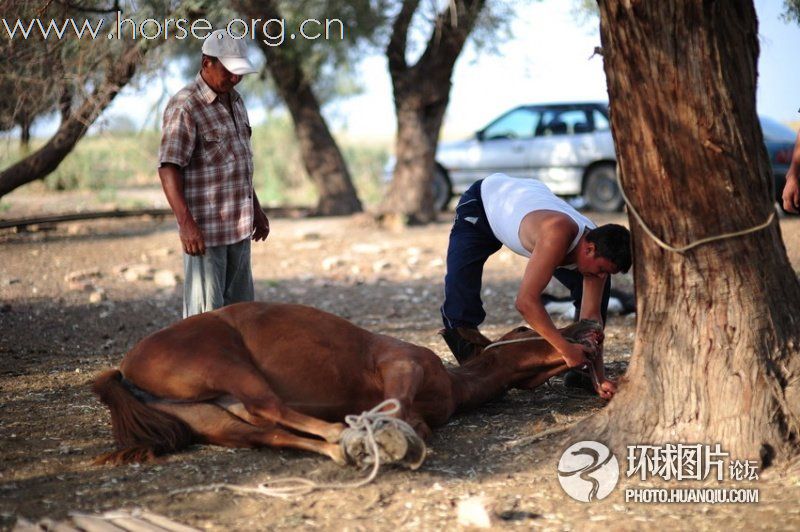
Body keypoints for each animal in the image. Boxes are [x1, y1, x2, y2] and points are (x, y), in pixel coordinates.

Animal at [92, 304, 600, 466]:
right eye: (522, 329)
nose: (590, 327)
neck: (453, 384)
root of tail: (124, 370)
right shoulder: (401, 365)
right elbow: (397, 409)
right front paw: (387, 436)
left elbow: (410, 418)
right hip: (229, 366)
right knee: (268, 409)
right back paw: (343, 436)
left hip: (211, 417)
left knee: (264, 432)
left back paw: (340, 448)